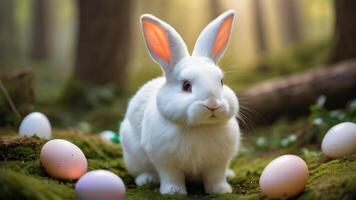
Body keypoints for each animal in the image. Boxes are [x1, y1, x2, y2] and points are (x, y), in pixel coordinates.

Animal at [119, 10, 239, 195]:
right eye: (186, 85)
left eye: (221, 82)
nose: (212, 104)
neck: (199, 127)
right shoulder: (166, 162)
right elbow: (171, 177)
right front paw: (173, 192)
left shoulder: (218, 163)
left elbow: (215, 177)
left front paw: (221, 190)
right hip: (133, 155)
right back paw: (146, 179)